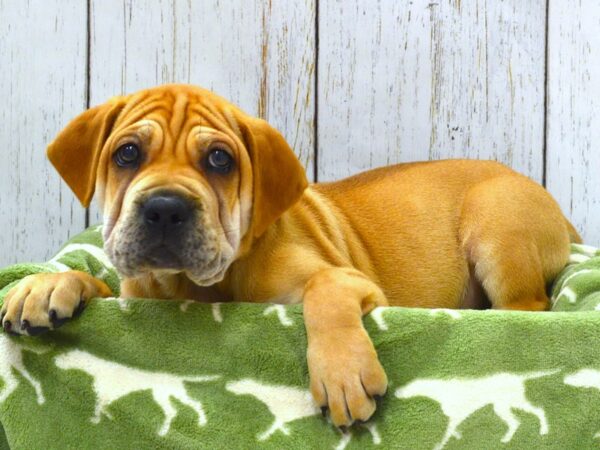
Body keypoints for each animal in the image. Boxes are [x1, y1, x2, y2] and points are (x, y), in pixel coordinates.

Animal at [1, 83, 580, 426]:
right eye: (126, 154)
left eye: (219, 160)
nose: (165, 208)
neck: (199, 286)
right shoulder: (134, 293)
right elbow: (95, 281)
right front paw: (48, 284)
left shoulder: (347, 280)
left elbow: (324, 292)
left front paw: (343, 374)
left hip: (497, 228)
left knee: (529, 310)